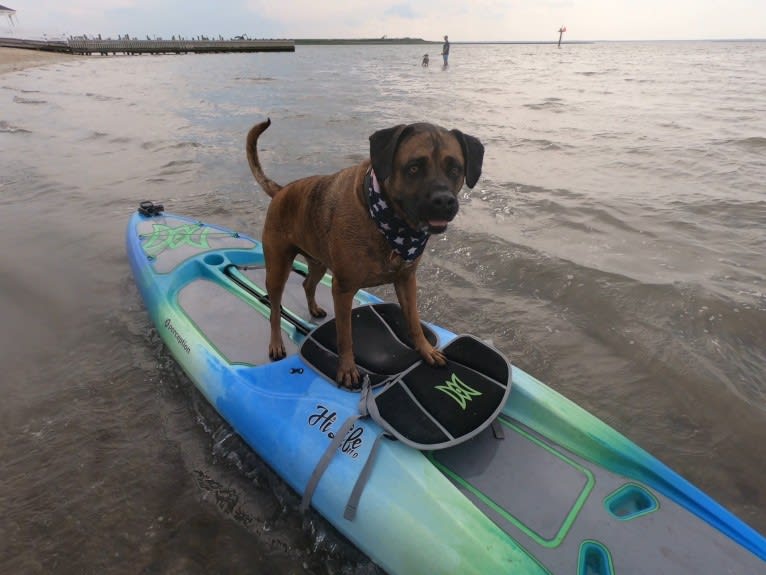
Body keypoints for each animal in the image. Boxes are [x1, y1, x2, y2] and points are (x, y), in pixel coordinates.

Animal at [248, 117, 486, 388]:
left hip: (318, 261)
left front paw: (426, 350)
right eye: (414, 168)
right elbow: (345, 336)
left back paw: (314, 308)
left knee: (308, 283)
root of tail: (281, 191)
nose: (444, 201)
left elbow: (414, 321)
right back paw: (276, 342)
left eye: (455, 169)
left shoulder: (406, 280)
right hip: (277, 268)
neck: (386, 222)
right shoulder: (343, 289)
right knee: (275, 310)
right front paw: (347, 369)